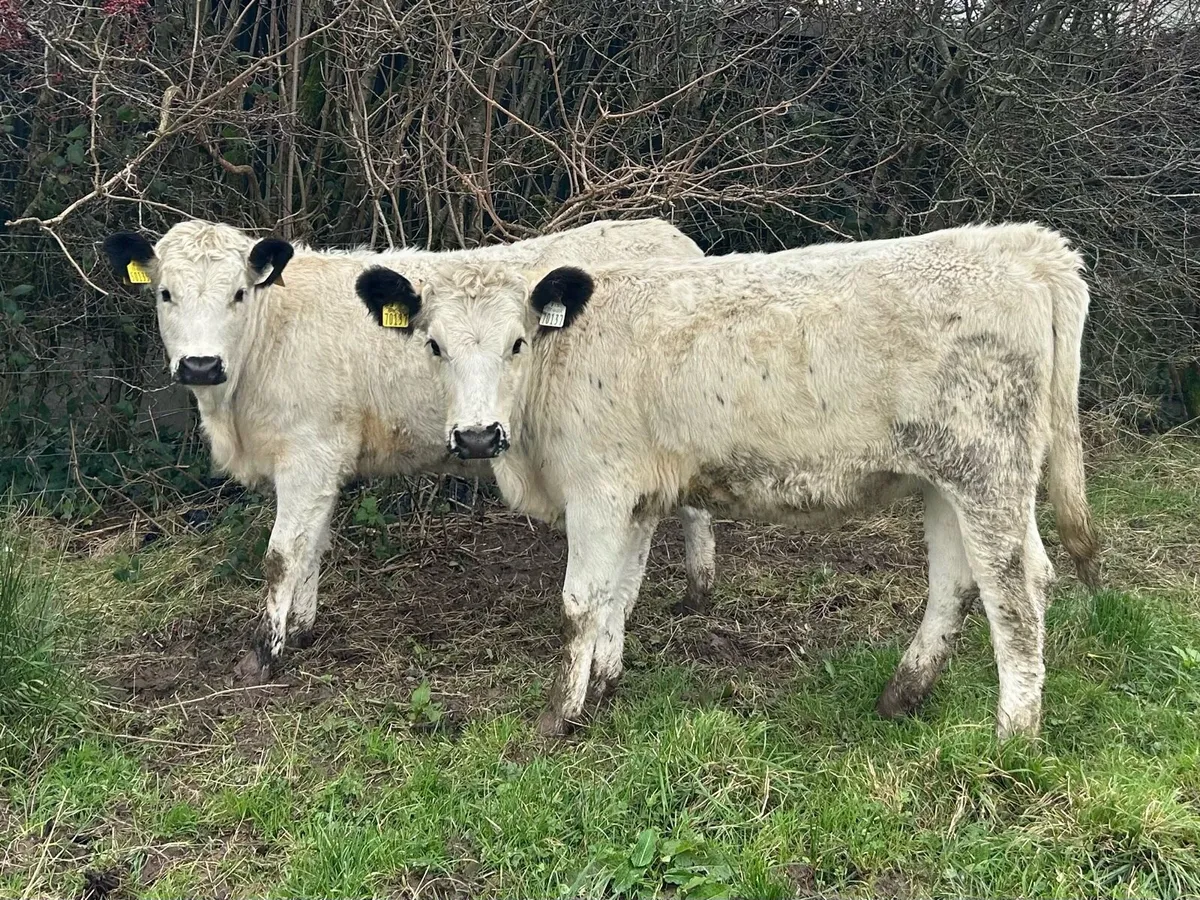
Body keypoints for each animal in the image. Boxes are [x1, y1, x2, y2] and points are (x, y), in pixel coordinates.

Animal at [101, 218, 718, 684]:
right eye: (165, 294)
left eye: (237, 293)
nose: (200, 364)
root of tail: (666, 232)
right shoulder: (325, 460)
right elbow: (312, 546)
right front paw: (300, 629)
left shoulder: (308, 453)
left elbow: (282, 555)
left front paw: (263, 653)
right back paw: (699, 591)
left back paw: (697, 588)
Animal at [355, 223, 1100, 739]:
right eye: (434, 346)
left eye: (517, 343)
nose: (478, 436)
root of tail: (1024, 245)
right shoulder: (636, 494)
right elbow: (620, 593)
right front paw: (604, 685)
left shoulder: (598, 490)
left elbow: (580, 602)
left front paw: (557, 718)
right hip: (947, 480)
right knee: (958, 583)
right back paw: (902, 696)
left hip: (986, 472)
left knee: (1016, 593)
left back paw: (1013, 735)